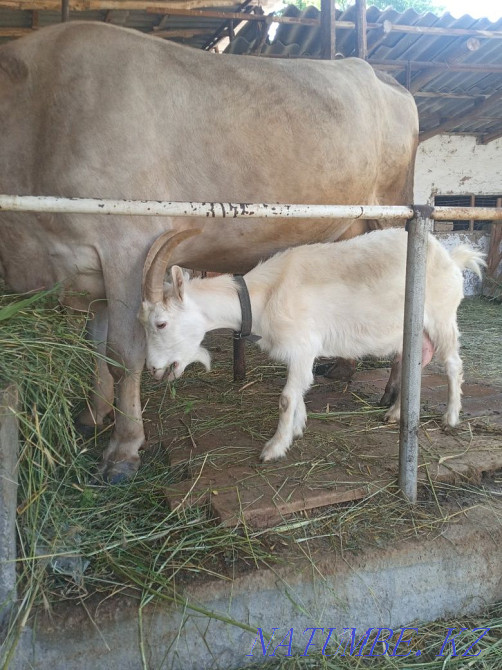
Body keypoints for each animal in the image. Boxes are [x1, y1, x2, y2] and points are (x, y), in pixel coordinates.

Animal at [139, 228, 485, 462]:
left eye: (161, 323)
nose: (153, 369)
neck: (264, 296)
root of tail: (452, 258)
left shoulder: (302, 344)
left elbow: (286, 398)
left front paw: (274, 448)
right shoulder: (300, 354)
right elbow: (299, 391)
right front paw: (298, 428)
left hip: (442, 317)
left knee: (453, 365)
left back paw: (450, 417)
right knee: (417, 361)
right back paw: (396, 413)